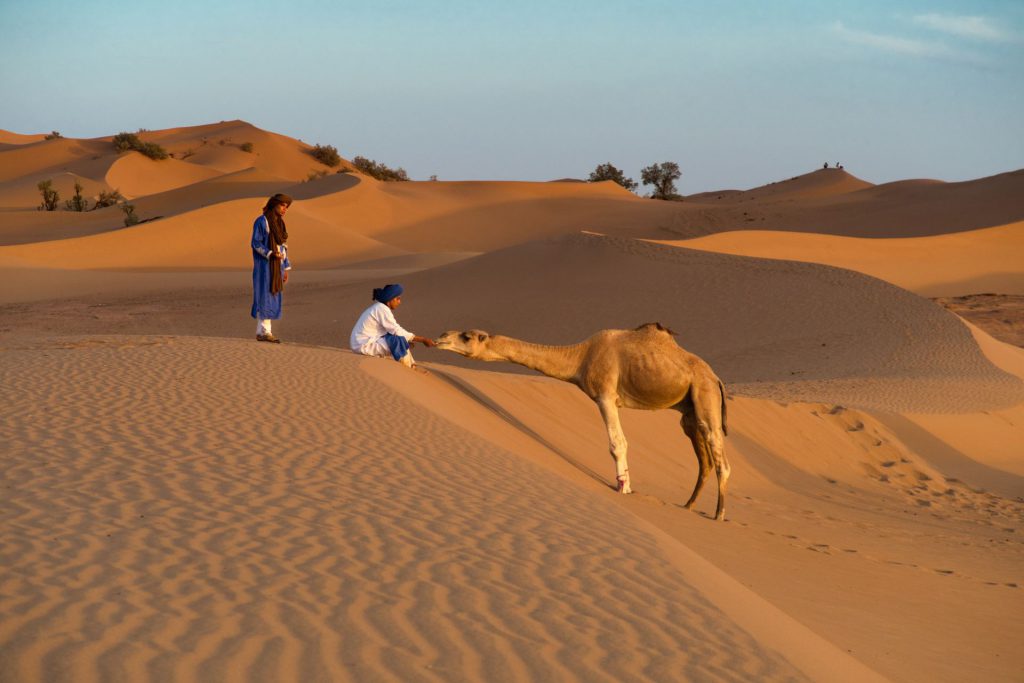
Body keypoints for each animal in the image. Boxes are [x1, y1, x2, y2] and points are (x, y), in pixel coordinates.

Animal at [430, 323, 729, 520]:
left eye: (466, 336)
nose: (441, 337)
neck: (580, 357)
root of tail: (717, 378)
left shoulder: (605, 395)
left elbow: (617, 444)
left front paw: (623, 489)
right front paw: (627, 487)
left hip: (705, 396)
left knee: (719, 456)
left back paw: (718, 514)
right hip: (688, 412)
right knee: (704, 459)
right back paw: (688, 506)